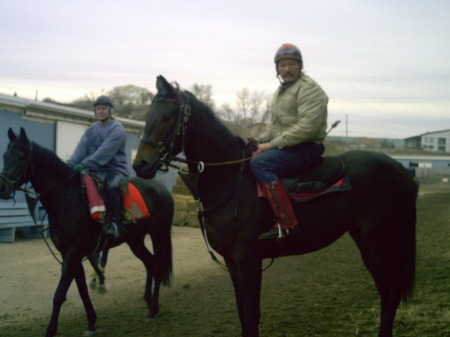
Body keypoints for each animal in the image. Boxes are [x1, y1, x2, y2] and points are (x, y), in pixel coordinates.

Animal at [0, 126, 174, 336]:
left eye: (21, 156)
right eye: (5, 156)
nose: (3, 188)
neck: (68, 199)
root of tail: (162, 189)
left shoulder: (74, 253)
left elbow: (59, 294)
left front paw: (51, 330)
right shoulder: (69, 254)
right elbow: (82, 289)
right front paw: (91, 323)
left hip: (158, 235)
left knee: (157, 265)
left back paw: (153, 310)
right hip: (135, 240)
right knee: (150, 263)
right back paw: (148, 302)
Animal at [132, 75, 416, 336]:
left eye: (167, 116)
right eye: (149, 115)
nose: (140, 165)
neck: (231, 179)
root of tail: (401, 170)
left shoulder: (248, 258)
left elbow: (251, 314)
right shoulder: (231, 260)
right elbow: (242, 311)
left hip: (381, 243)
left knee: (392, 290)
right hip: (366, 243)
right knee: (386, 290)